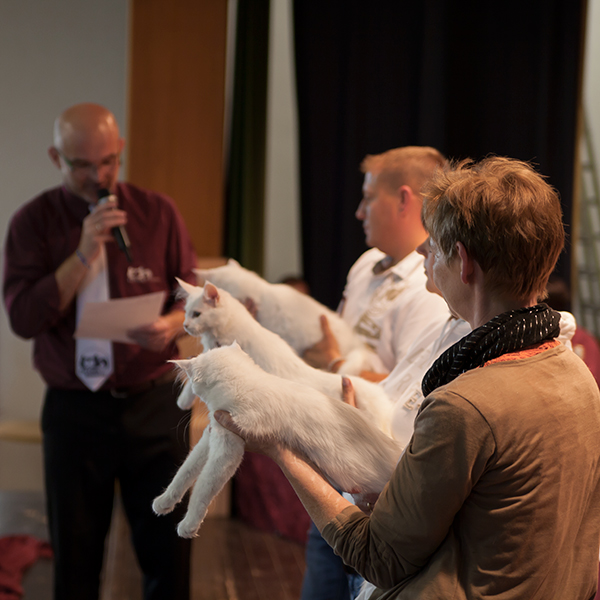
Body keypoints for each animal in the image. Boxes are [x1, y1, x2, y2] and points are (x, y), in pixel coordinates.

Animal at [153, 342, 402, 538]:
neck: (243, 383)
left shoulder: (227, 451)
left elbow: (203, 489)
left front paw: (188, 525)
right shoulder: (211, 436)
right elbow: (185, 472)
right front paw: (164, 502)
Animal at [176, 278, 395, 435]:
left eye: (196, 314)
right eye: (185, 313)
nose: (185, 325)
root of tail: (382, 402)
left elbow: (194, 377)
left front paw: (183, 400)